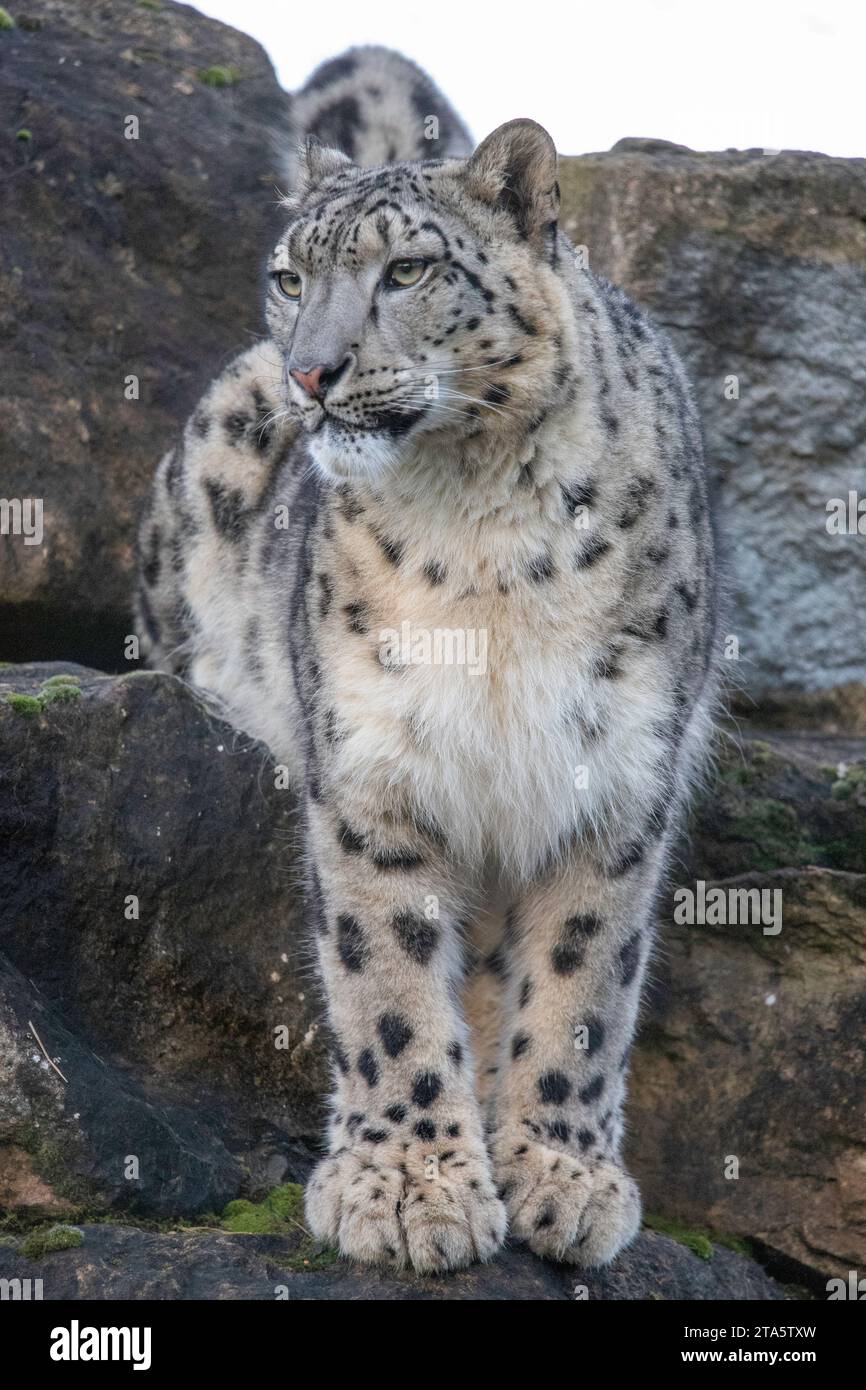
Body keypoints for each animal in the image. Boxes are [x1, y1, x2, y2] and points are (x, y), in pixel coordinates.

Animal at [136, 45, 717, 1276]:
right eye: (288, 276)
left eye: (407, 269)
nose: (313, 373)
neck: (478, 530)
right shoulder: (369, 767)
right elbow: (389, 981)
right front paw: (408, 1187)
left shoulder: (615, 779)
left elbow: (581, 981)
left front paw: (561, 1177)